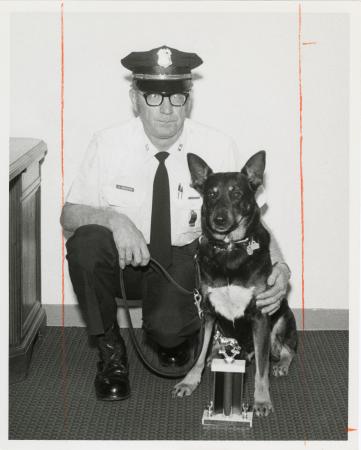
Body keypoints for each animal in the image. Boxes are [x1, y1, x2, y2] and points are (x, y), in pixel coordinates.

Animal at [173, 152, 296, 418]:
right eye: (211, 194)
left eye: (237, 193)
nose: (219, 219)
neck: (229, 249)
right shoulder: (208, 312)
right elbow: (199, 354)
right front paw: (190, 381)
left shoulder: (260, 316)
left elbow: (261, 369)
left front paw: (262, 400)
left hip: (280, 321)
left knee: (285, 350)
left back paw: (281, 364)